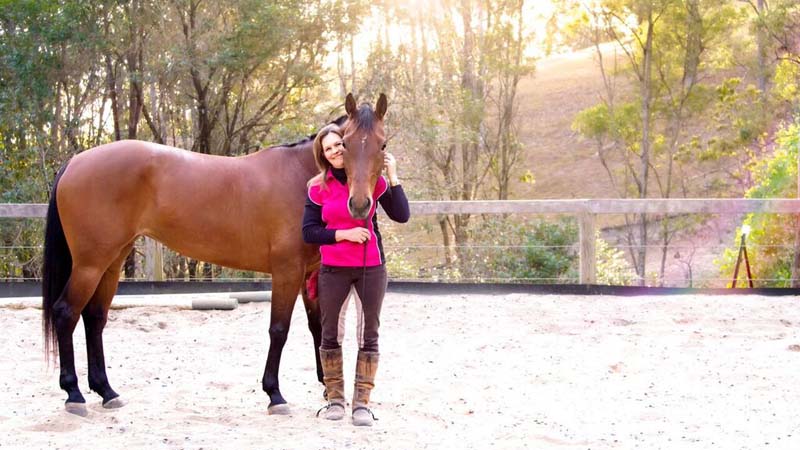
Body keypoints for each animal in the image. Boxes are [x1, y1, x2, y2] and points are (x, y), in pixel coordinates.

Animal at [42, 93, 390, 416]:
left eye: (382, 144)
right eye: (343, 144)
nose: (359, 205)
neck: (301, 178)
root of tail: (75, 162)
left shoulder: (309, 273)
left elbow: (318, 328)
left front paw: (326, 389)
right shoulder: (287, 271)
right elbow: (279, 330)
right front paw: (274, 394)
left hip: (111, 262)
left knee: (94, 318)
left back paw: (106, 391)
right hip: (90, 264)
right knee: (66, 312)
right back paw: (74, 394)